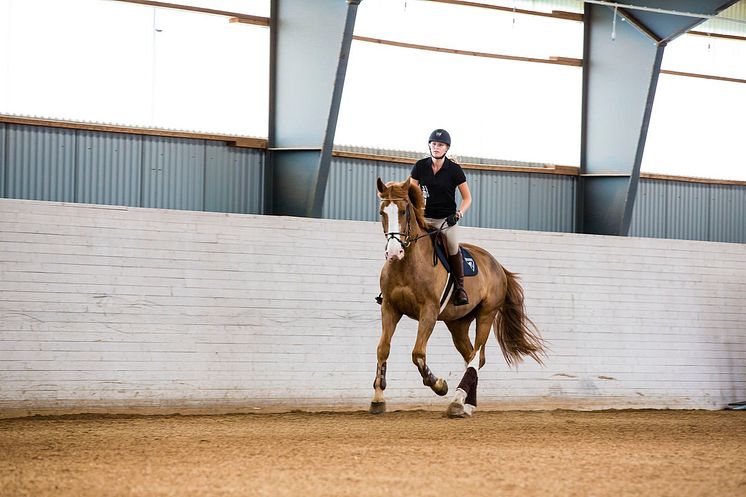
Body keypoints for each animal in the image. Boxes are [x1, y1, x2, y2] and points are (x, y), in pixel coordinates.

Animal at [370, 176, 544, 416]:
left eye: (404, 211)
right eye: (382, 212)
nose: (394, 252)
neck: (407, 264)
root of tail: (497, 265)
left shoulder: (429, 311)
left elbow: (417, 353)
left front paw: (439, 385)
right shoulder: (389, 307)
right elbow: (382, 349)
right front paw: (378, 398)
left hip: (486, 314)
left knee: (476, 355)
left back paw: (457, 401)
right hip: (458, 324)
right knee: (473, 356)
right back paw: (468, 404)